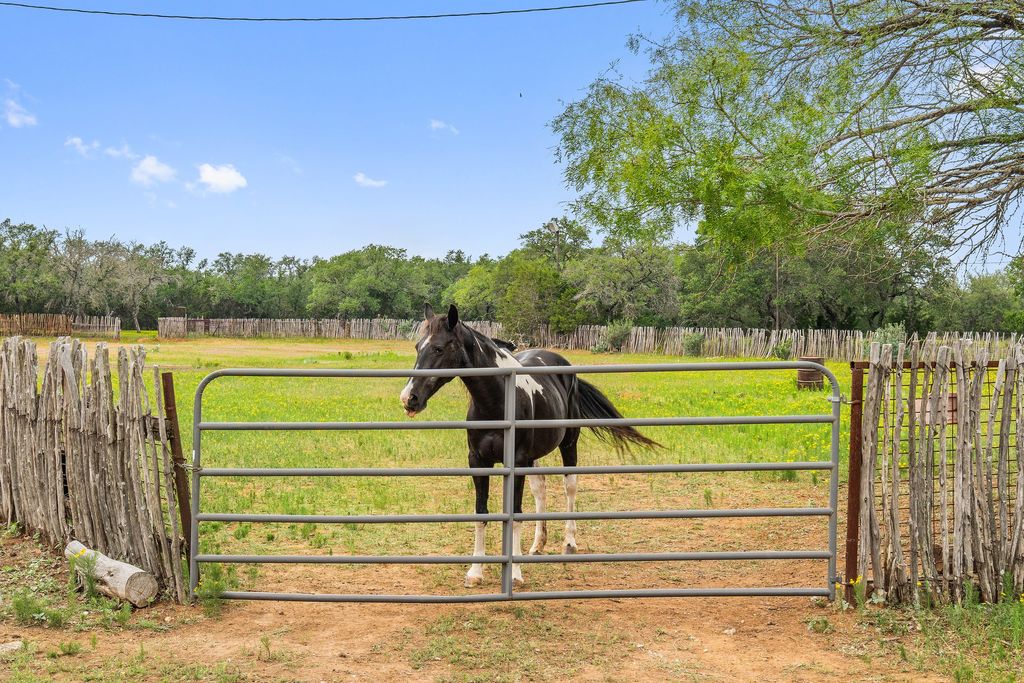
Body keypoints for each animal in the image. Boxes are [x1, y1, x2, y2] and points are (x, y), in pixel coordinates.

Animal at [399, 305, 655, 589]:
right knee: (540, 489)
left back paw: (569, 544)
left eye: (439, 348)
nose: (409, 398)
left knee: (570, 487)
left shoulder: (516, 461)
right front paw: (475, 572)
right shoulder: (478, 461)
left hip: (569, 444)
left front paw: (515, 574)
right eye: (417, 346)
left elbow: (515, 512)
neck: (497, 401)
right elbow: (482, 512)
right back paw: (537, 545)